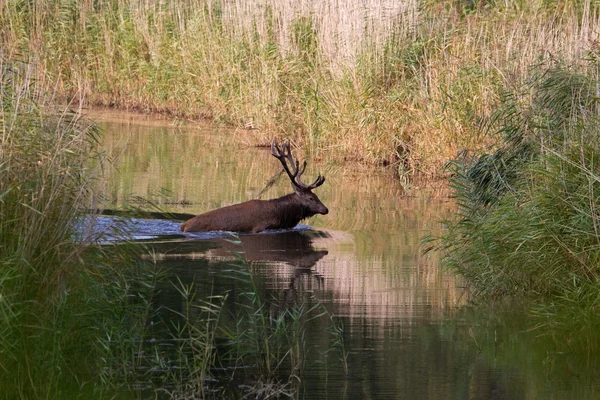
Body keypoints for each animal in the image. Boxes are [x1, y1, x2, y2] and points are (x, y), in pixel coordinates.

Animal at [179, 142, 328, 233]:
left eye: (316, 196)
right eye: (311, 198)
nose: (325, 209)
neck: (283, 214)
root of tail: (183, 226)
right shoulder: (260, 227)